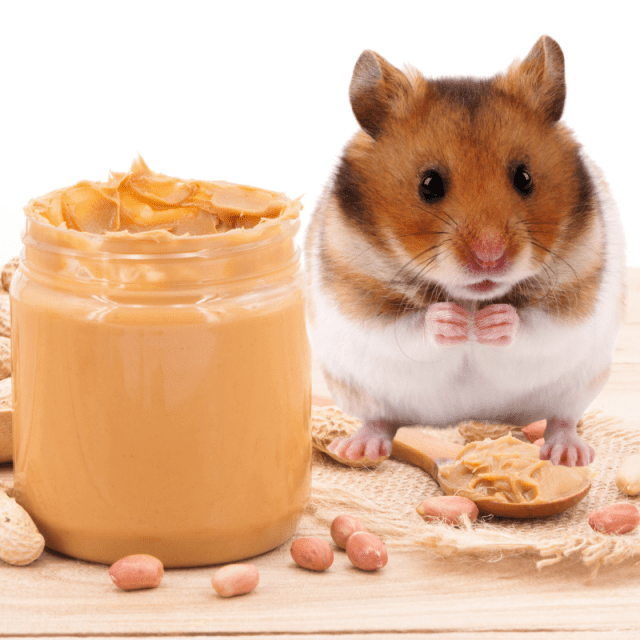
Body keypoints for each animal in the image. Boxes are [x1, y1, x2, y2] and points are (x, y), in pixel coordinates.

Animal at [305, 36, 626, 467]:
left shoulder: (576, 301)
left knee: (562, 418)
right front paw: (456, 323)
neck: (472, 297)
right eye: (429, 184)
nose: (490, 257)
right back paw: (357, 447)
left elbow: (533, 326)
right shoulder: (355, 301)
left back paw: (567, 453)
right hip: (357, 389)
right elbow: (408, 327)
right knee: (380, 421)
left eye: (524, 177)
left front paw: (488, 324)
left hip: (579, 385)